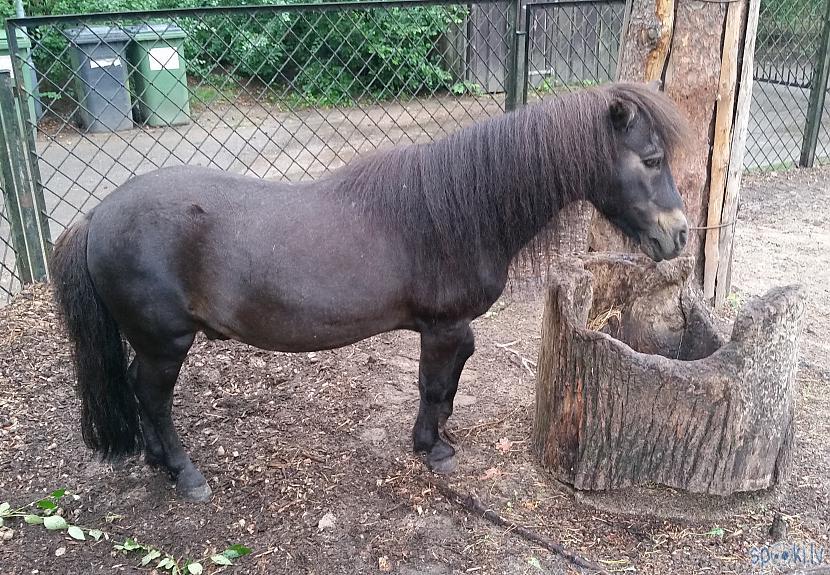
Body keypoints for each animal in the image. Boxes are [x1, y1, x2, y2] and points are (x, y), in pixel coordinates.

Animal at [50, 81, 688, 500]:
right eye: (652, 158)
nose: (680, 235)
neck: (455, 212)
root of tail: (98, 215)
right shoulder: (441, 327)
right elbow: (433, 383)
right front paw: (432, 447)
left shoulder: (454, 327)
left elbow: (458, 370)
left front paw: (442, 431)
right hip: (167, 344)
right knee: (153, 398)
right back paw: (185, 474)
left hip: (153, 343)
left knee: (140, 393)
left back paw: (158, 461)